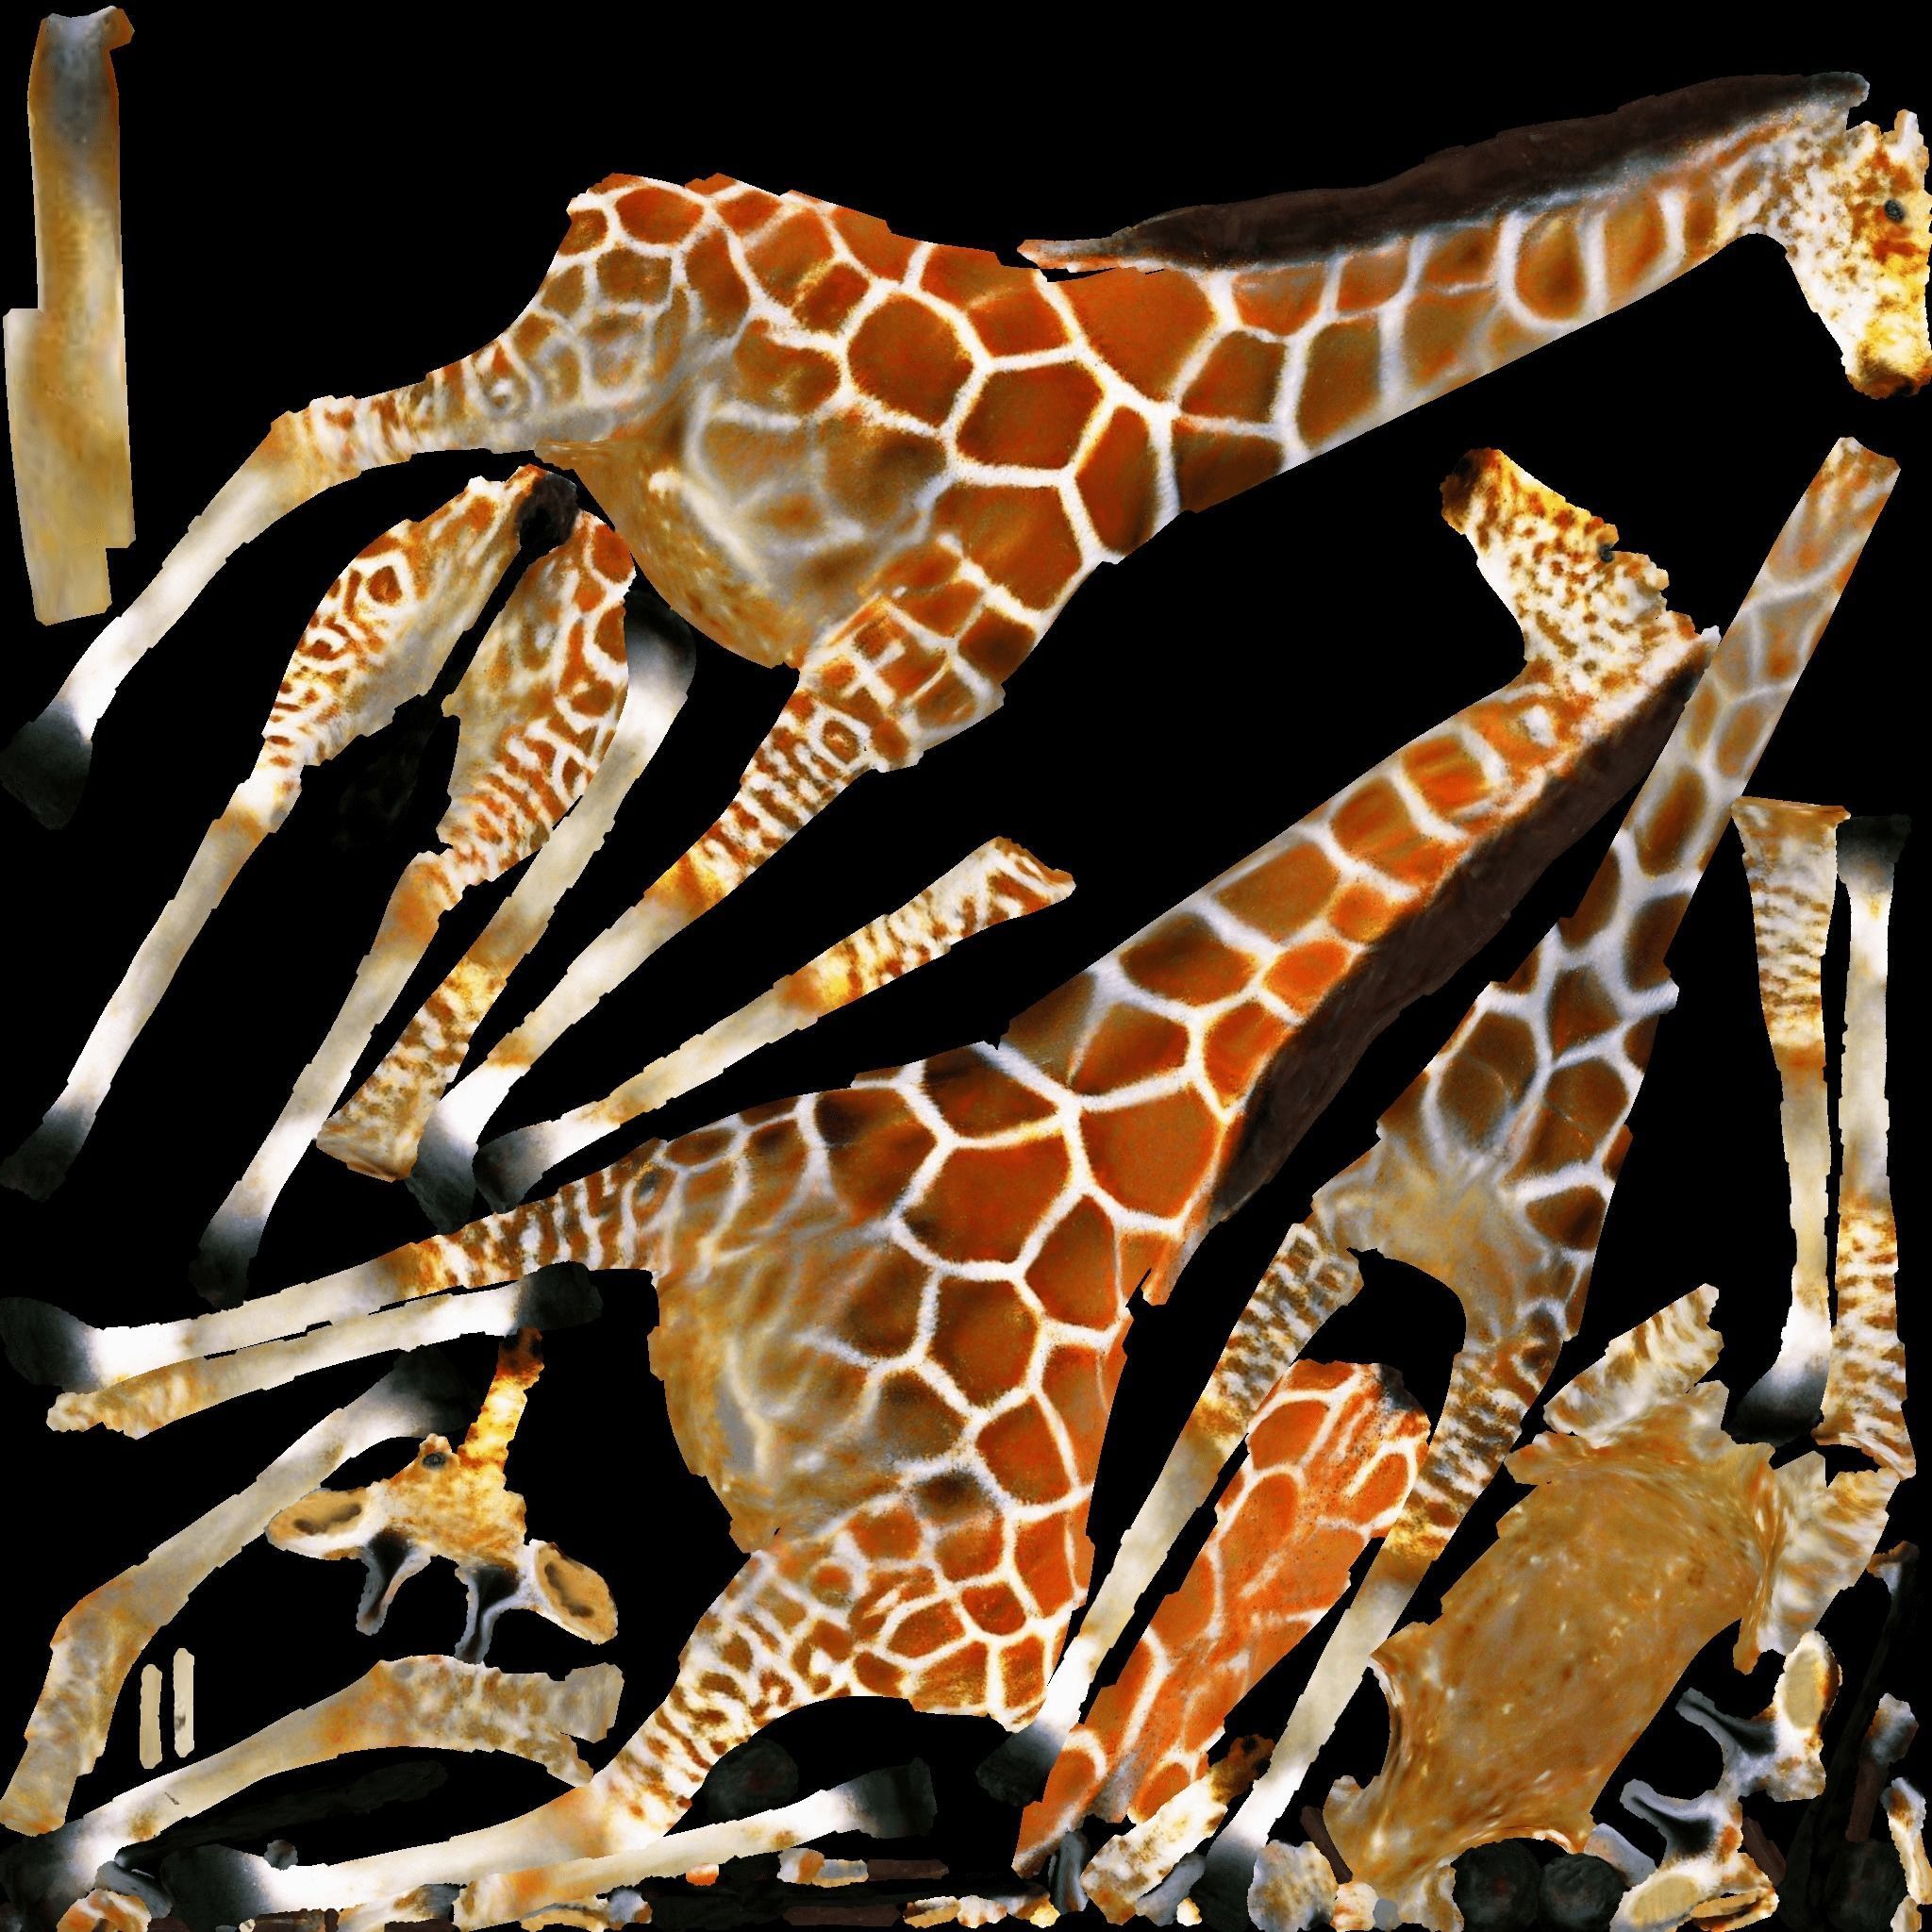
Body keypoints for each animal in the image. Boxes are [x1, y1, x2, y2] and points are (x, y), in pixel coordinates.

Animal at [1186, 436, 1897, 1928]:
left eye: (1606, 553)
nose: (1462, 468)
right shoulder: (1322, 1237)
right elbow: (1187, 1481)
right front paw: (1051, 1762)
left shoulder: (1508, 1363)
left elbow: (1360, 1632)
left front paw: (1205, 1850)